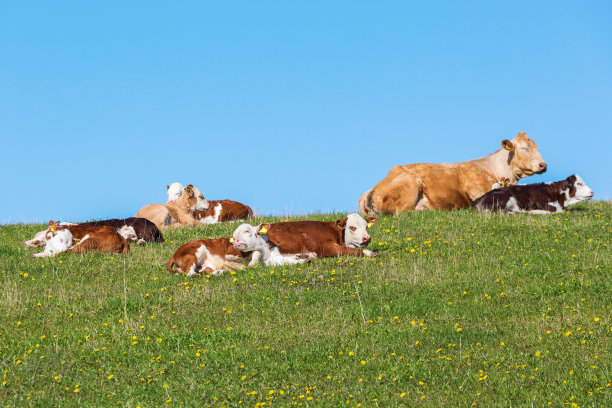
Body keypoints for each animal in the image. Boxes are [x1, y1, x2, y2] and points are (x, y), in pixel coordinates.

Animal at [356, 132, 548, 215]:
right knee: (404, 213)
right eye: (524, 148)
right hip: (411, 182)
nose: (543, 165)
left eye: (538, 148)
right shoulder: (475, 188)